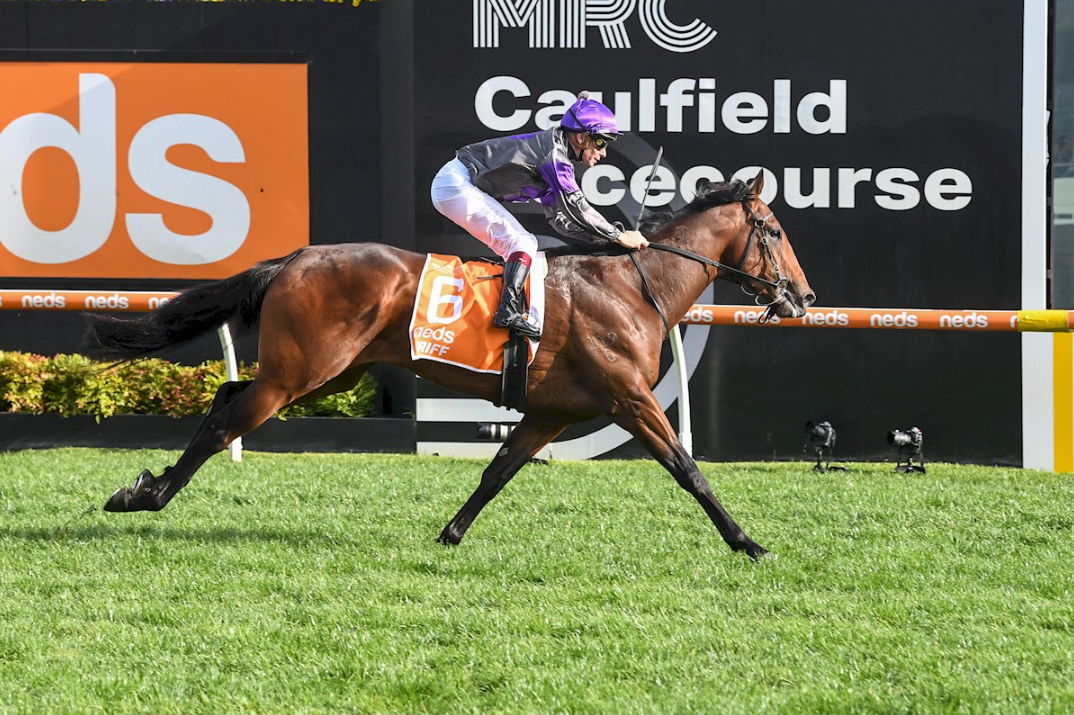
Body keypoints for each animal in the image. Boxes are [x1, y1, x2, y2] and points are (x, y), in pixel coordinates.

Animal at [86, 172, 814, 560]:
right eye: (775, 230)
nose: (804, 297)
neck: (633, 288)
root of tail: (295, 257)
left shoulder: (552, 412)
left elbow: (497, 473)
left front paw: (450, 533)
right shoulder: (629, 400)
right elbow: (689, 470)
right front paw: (747, 541)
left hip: (323, 375)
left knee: (225, 396)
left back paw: (148, 486)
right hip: (301, 374)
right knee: (224, 422)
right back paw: (142, 496)